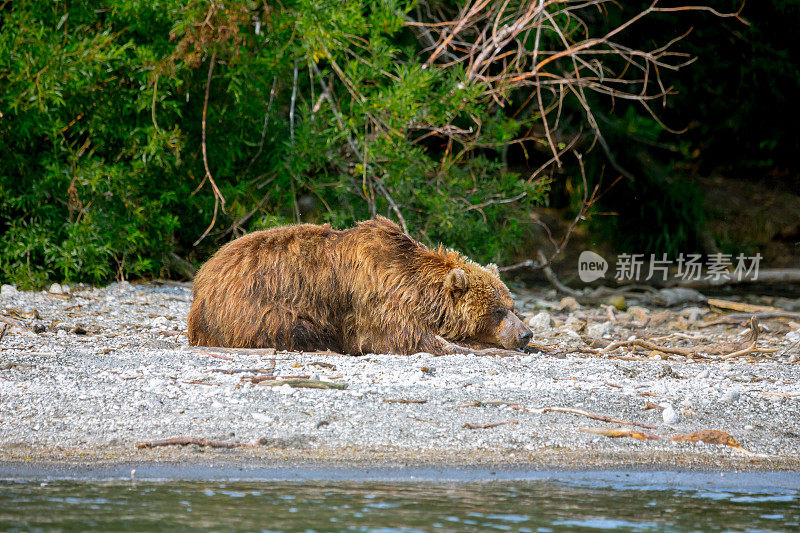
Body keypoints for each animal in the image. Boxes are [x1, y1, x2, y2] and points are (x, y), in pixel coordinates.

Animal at [187, 216, 532, 354]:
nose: (525, 334)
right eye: (497, 311)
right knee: (292, 326)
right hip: (251, 308)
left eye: (514, 307)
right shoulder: (373, 302)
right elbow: (408, 339)